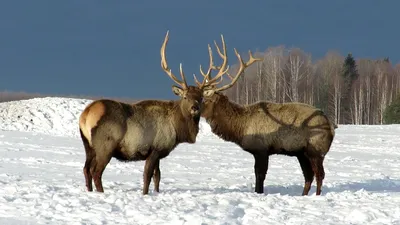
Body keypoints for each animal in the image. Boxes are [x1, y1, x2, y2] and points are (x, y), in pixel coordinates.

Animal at [78, 30, 209, 194]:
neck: (177, 130)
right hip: (105, 145)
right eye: (185, 97)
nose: (194, 108)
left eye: (201, 98)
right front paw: (145, 194)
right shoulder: (155, 149)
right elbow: (147, 176)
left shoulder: (158, 154)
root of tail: (86, 115)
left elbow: (157, 176)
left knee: (86, 169)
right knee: (96, 171)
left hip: (87, 145)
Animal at [193, 36, 334, 195]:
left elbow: (260, 176)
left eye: (204, 99)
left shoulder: (261, 149)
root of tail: (331, 126)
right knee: (309, 175)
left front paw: (259, 192)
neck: (241, 128)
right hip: (301, 153)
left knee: (319, 174)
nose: (192, 108)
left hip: (316, 149)